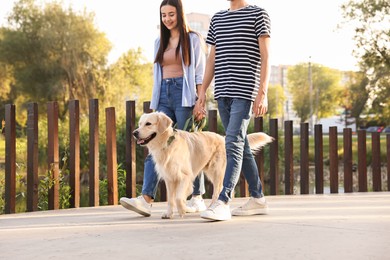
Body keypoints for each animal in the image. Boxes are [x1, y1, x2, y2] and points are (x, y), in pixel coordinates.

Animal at [133, 111, 272, 219]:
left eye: (148, 124)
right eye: (140, 124)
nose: (135, 133)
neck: (167, 144)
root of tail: (223, 137)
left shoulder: (185, 176)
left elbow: (178, 197)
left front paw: (182, 209)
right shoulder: (169, 178)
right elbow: (171, 199)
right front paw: (169, 213)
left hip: (216, 172)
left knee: (217, 191)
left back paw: (212, 208)